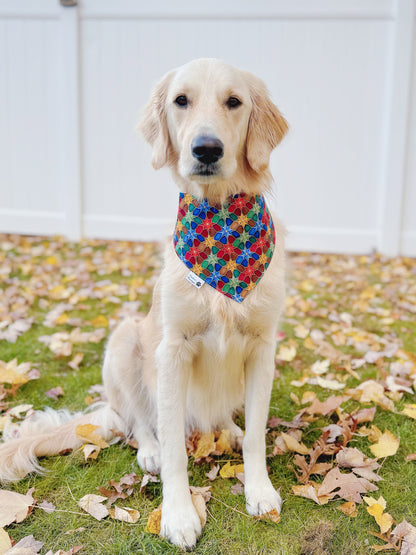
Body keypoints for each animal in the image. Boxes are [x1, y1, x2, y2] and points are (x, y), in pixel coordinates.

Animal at [0, 58, 286, 548]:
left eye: (234, 101)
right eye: (181, 100)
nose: (206, 149)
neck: (220, 223)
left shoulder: (263, 347)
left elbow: (256, 436)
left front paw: (259, 490)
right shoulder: (172, 350)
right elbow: (172, 446)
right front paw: (178, 514)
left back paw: (228, 428)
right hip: (124, 341)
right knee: (138, 421)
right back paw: (148, 449)